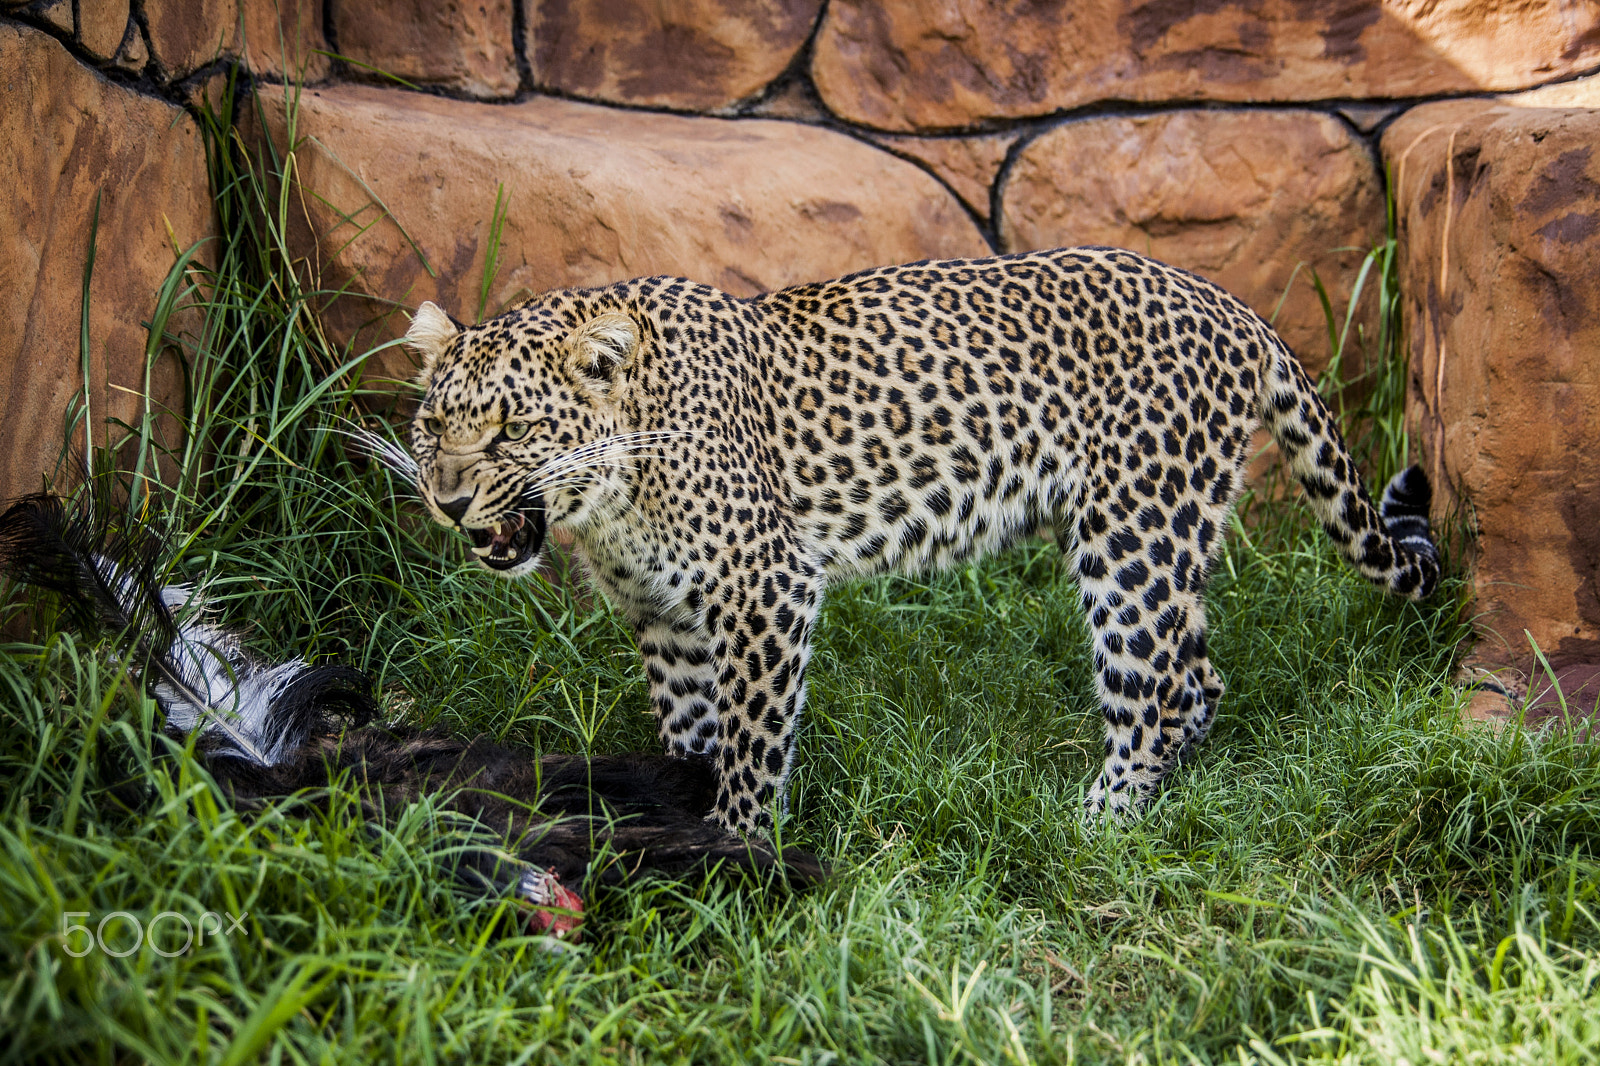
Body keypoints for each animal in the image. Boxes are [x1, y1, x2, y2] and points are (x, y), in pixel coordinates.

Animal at [399, 247, 1440, 837]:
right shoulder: (667, 617)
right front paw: (682, 818)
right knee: (1199, 675)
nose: (446, 500)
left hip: (1134, 532)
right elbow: (692, 729)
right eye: (432, 425)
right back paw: (1171, 792)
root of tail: (1236, 307)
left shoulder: (768, 589)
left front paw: (739, 852)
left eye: (511, 431)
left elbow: (751, 740)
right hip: (1163, 532)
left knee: (1147, 689)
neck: (610, 499)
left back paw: (1102, 825)